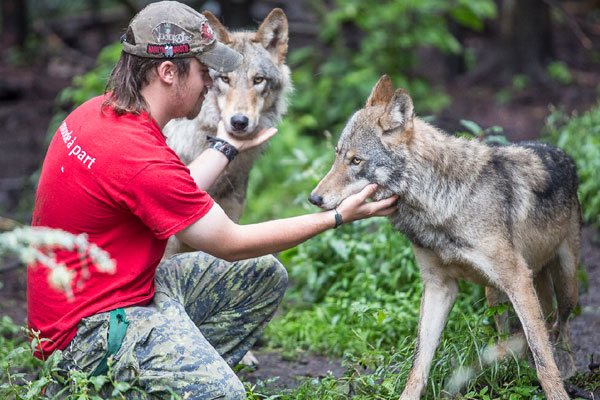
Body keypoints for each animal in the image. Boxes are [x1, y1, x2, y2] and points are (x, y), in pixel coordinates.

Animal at [308, 75, 580, 400]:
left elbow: (543, 360)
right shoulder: (439, 285)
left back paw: (568, 368)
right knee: (514, 332)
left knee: (560, 327)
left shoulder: (517, 279)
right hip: (495, 293)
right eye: (337, 155)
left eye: (356, 161)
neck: (440, 203)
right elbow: (419, 362)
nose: (314, 198)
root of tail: (562, 152)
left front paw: (557, 390)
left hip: (564, 284)